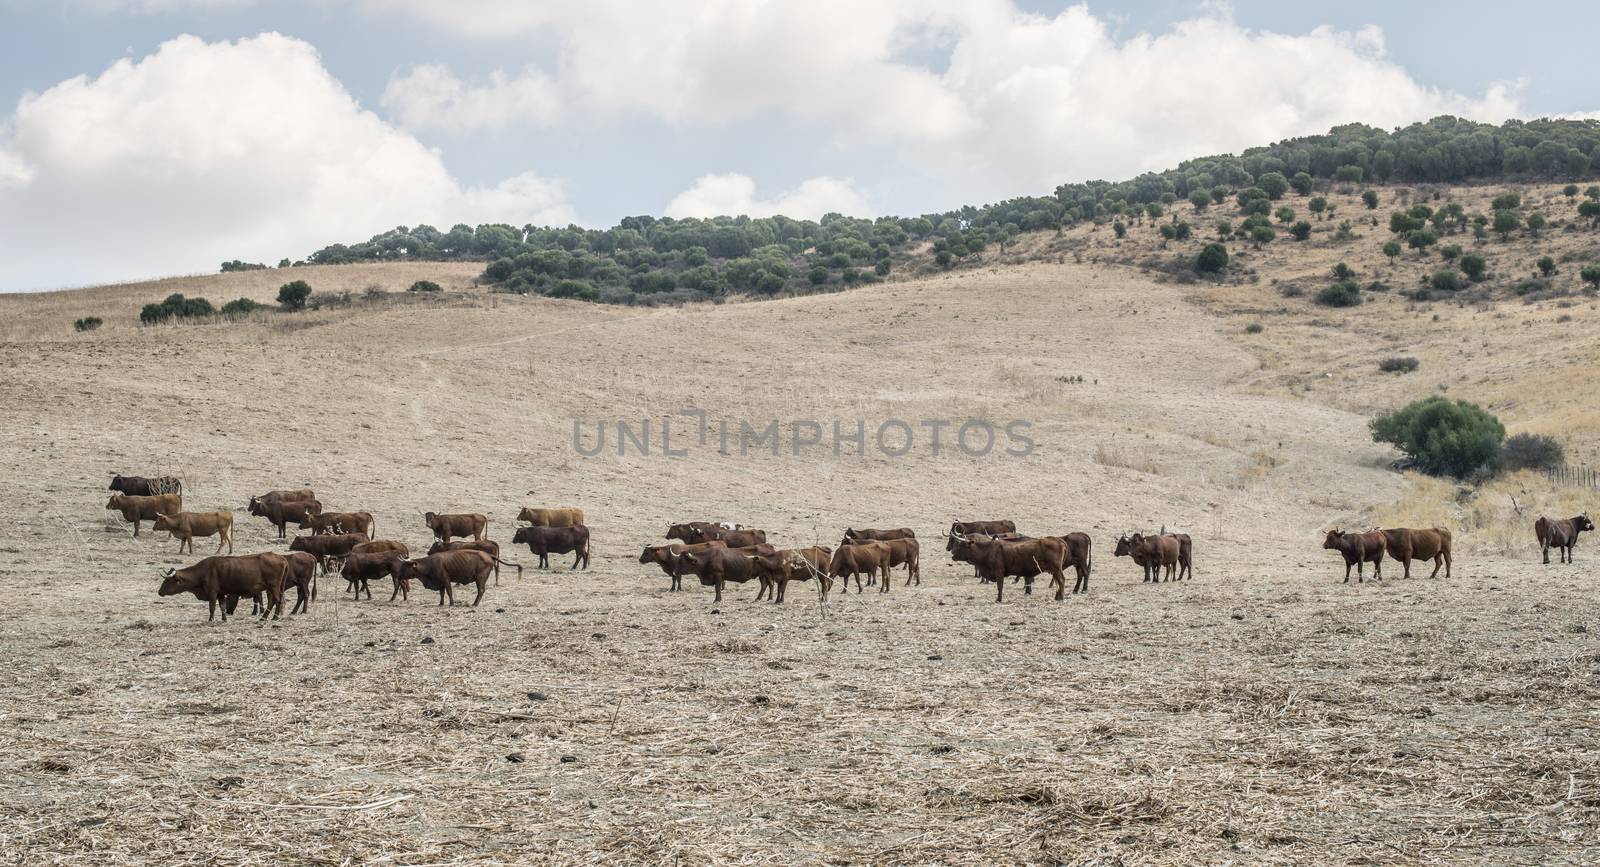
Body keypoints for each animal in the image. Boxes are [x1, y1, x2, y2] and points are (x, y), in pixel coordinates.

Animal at [159, 553, 288, 620]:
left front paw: (210, 620)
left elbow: (212, 607)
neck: (204, 571)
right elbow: (222, 606)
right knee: (273, 601)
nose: (159, 592)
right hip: (272, 587)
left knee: (277, 600)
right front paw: (224, 619)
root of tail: (281, 558)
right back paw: (264, 617)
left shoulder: (212, 592)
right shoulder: (221, 593)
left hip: (273, 586)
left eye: (168, 580)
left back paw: (274, 617)